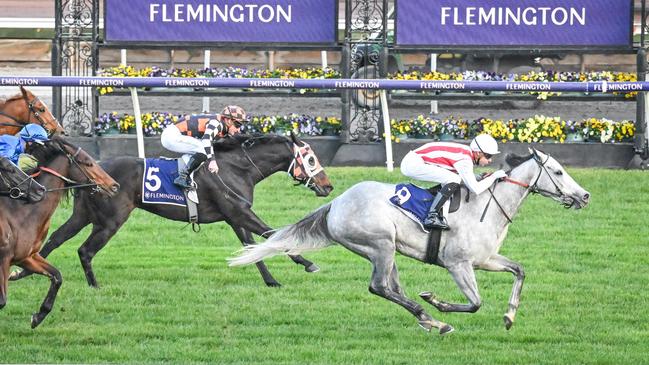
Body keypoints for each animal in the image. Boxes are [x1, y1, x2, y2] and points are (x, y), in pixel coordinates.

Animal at [0, 136, 118, 328]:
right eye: (88, 163)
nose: (114, 185)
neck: (21, 213)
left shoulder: (26, 256)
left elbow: (57, 276)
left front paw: (39, 315)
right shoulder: (4, 259)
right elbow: (2, 301)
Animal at [12, 133, 332, 288]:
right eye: (311, 159)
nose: (327, 186)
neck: (237, 168)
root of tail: (96, 172)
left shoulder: (235, 217)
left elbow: (254, 247)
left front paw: (271, 281)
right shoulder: (240, 213)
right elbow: (273, 235)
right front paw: (308, 263)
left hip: (83, 215)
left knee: (55, 240)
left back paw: (22, 273)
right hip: (111, 220)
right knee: (85, 250)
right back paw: (94, 286)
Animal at [230, 149, 588, 334]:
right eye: (558, 172)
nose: (584, 195)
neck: (484, 207)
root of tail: (336, 203)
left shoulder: (485, 259)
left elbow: (519, 270)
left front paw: (510, 316)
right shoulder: (458, 264)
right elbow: (475, 303)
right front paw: (436, 300)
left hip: (384, 251)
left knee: (392, 287)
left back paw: (428, 320)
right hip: (380, 245)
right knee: (379, 287)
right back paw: (432, 316)